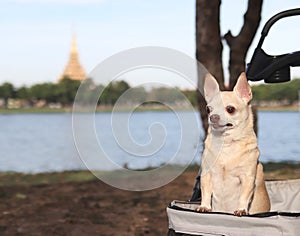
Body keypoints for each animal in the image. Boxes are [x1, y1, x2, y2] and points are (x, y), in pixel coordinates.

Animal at [196, 73, 270, 217]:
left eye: (230, 109)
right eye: (208, 109)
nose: (213, 116)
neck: (226, 143)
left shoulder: (247, 178)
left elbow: (244, 196)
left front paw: (241, 209)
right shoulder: (207, 174)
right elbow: (205, 191)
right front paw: (205, 206)